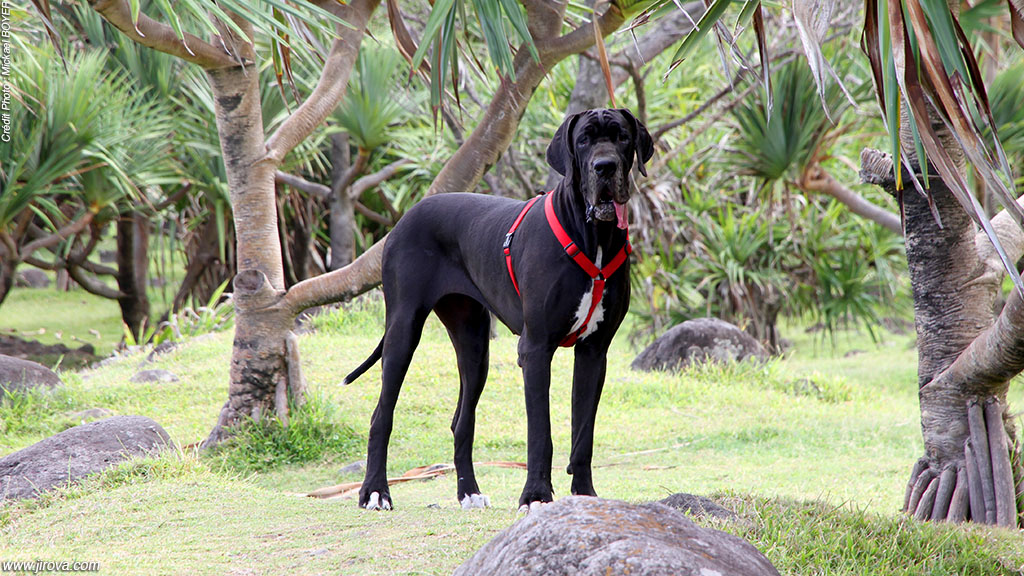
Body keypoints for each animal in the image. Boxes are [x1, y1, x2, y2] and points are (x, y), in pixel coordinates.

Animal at [339, 106, 651, 506]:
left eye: (622, 137)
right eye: (584, 140)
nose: (605, 167)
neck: (594, 236)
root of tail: (406, 215)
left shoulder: (594, 352)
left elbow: (583, 434)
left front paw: (584, 496)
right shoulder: (535, 349)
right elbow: (540, 433)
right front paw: (535, 495)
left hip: (474, 344)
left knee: (462, 421)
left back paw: (468, 492)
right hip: (403, 330)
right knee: (382, 414)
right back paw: (376, 491)